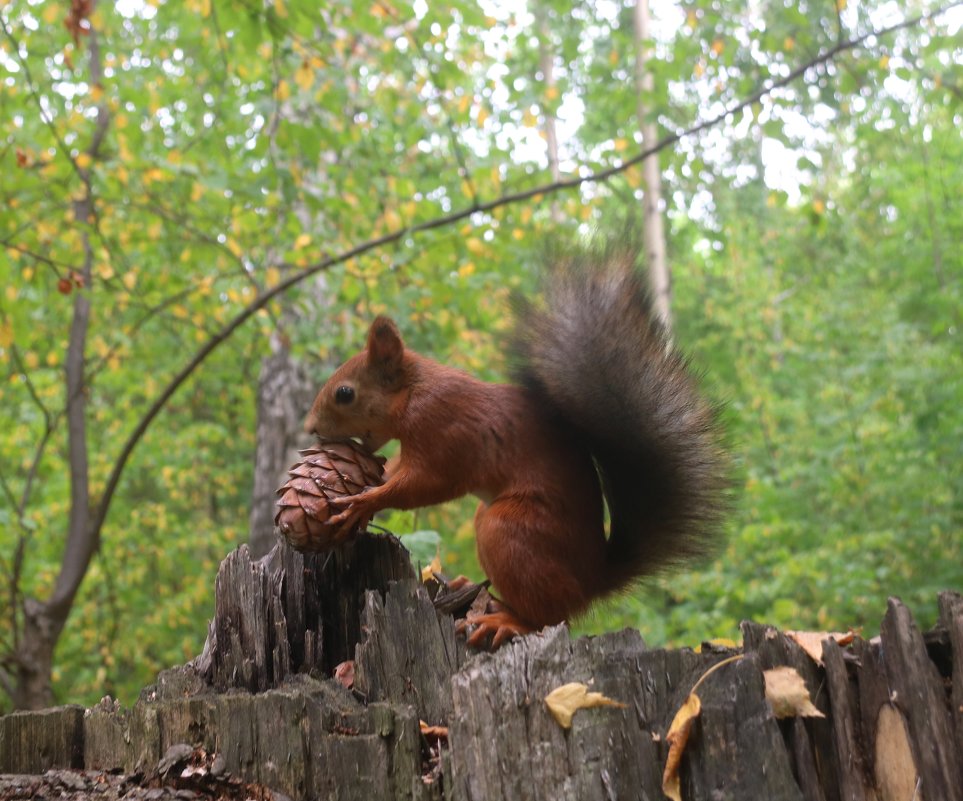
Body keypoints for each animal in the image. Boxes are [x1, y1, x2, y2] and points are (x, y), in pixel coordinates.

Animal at [306, 250, 728, 648]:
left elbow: (427, 485)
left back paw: (505, 621)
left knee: (550, 617)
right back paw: (472, 591)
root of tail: (591, 581)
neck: (413, 394)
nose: (311, 428)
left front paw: (363, 502)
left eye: (345, 393)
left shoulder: (446, 434)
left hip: (509, 531)